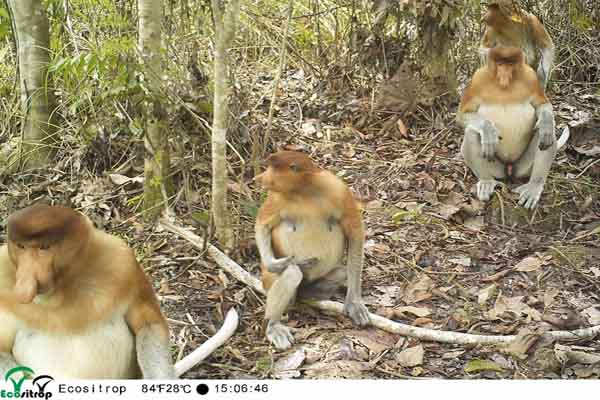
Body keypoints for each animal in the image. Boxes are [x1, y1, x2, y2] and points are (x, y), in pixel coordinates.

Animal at [0, 206, 176, 378]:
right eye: (21, 246)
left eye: (44, 247)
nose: (25, 284)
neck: (62, 289)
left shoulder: (123, 261)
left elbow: (148, 323)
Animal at [254, 150, 370, 350]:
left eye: (271, 168)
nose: (261, 177)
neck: (304, 190)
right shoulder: (276, 198)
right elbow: (262, 225)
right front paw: (275, 264)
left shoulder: (339, 190)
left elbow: (355, 232)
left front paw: (354, 303)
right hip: (267, 281)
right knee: (292, 273)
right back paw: (274, 325)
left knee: (341, 272)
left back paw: (309, 294)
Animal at [460, 46, 556, 209]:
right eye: (500, 64)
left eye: (510, 64)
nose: (504, 75)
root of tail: (509, 168)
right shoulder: (478, 79)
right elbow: (463, 114)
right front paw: (488, 132)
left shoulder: (531, 77)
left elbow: (542, 104)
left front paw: (547, 122)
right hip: (496, 168)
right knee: (471, 132)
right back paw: (486, 181)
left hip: (523, 167)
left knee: (545, 135)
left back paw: (534, 185)